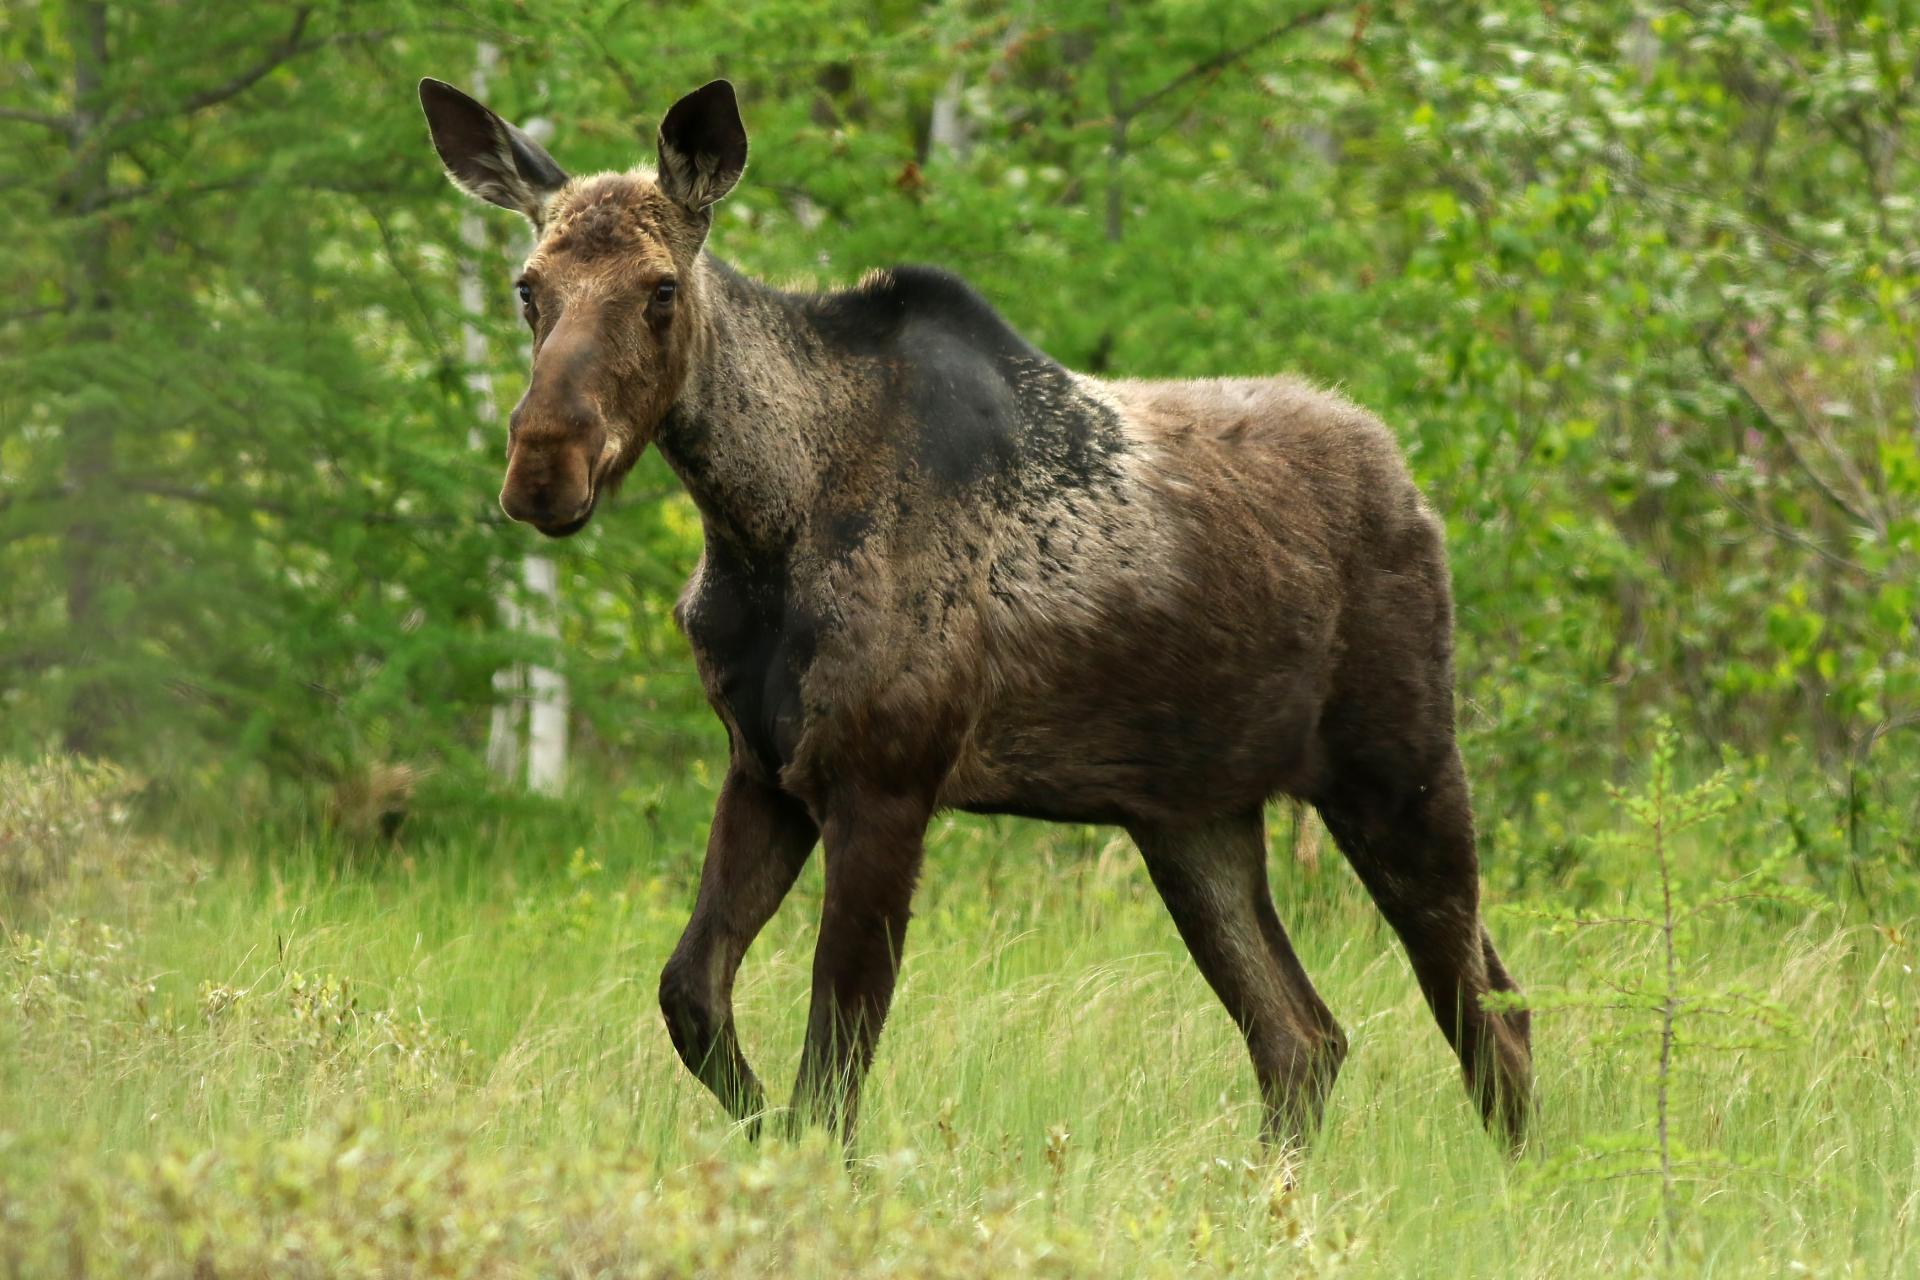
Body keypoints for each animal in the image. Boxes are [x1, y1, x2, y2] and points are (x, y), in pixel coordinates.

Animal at [419, 76, 1533, 1153]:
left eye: (659, 289)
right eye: (528, 287)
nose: (543, 465)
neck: (758, 522)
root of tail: (1413, 488)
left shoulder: (885, 781)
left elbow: (832, 1071)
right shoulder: (765, 767)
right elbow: (692, 994)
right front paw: (756, 1131)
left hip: (1399, 766)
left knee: (1491, 1007)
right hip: (1192, 812)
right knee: (1304, 1036)